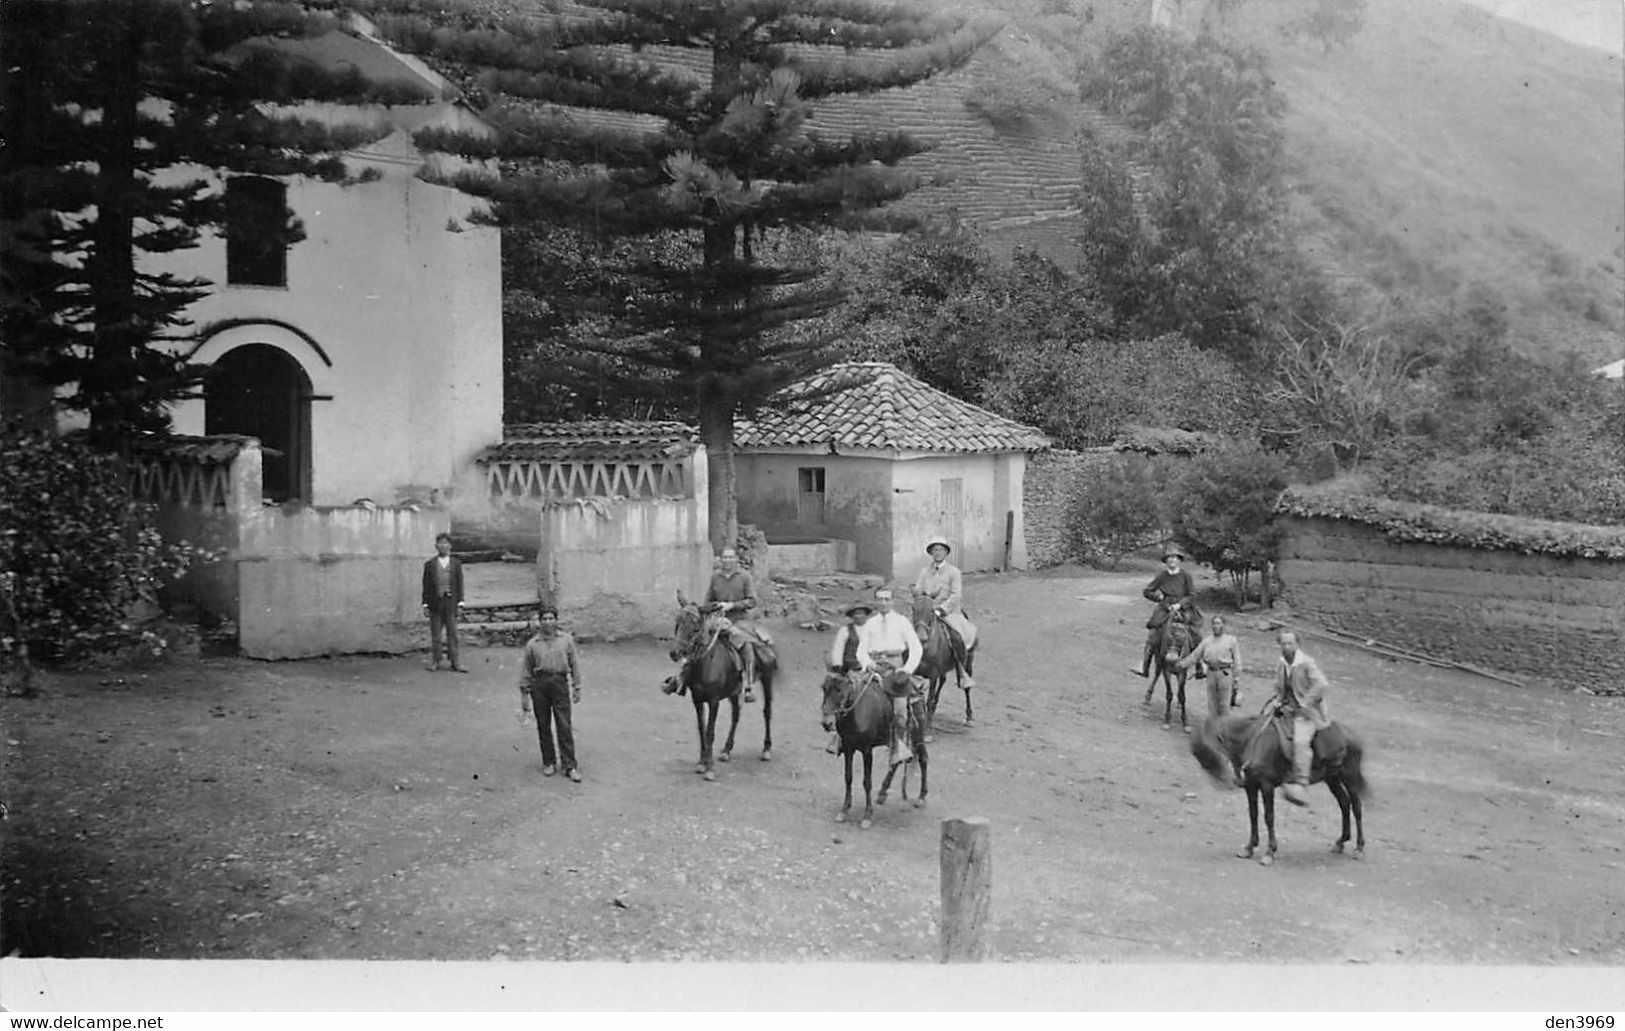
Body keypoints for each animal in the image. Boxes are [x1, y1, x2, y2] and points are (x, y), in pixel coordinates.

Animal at [669, 588, 776, 774]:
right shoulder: (697, 699)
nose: (674, 653)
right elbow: (701, 729)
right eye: (678, 622)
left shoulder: (714, 701)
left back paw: (766, 749)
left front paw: (709, 768)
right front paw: (702, 762)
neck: (706, 663)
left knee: (767, 711)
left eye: (696, 627)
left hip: (767, 680)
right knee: (736, 715)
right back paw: (726, 750)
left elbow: (710, 731)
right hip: (734, 691)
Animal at [819, 666, 936, 826]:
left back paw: (921, 797)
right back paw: (882, 793)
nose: (827, 723)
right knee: (897, 762)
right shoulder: (848, 747)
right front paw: (844, 810)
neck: (857, 713)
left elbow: (867, 782)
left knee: (923, 758)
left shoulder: (867, 750)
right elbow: (848, 778)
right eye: (824, 688)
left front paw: (867, 816)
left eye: (839, 689)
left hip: (917, 733)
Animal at [910, 595, 968, 738]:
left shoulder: (933, 676)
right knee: (943, 681)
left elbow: (929, 699)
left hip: (966, 665)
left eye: (931, 611)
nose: (921, 637)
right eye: (913, 608)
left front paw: (927, 729)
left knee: (966, 688)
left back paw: (969, 717)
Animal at [1189, 709, 1365, 865]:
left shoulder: (1267, 786)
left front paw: (1269, 852)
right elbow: (1253, 815)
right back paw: (1340, 842)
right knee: (1344, 803)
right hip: (1332, 778)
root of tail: (1351, 735)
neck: (1253, 741)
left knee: (1356, 807)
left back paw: (1359, 848)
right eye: (1198, 755)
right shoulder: (1251, 786)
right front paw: (1249, 848)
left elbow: (1269, 817)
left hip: (1350, 777)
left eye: (1209, 753)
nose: (1224, 782)